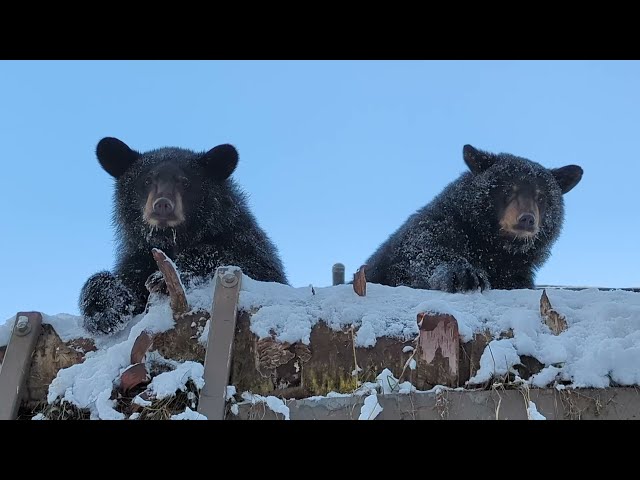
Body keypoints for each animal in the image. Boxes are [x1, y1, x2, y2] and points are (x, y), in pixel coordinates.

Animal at [80, 137, 288, 336]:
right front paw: (104, 311)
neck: (172, 238)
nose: (162, 204)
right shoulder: (139, 258)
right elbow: (126, 282)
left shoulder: (244, 241)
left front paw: (162, 277)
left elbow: (248, 264)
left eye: (185, 182)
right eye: (147, 180)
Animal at [362, 144, 584, 290]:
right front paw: (463, 273)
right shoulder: (431, 228)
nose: (527, 219)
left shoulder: (516, 272)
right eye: (508, 190)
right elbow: (421, 254)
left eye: (541, 196)